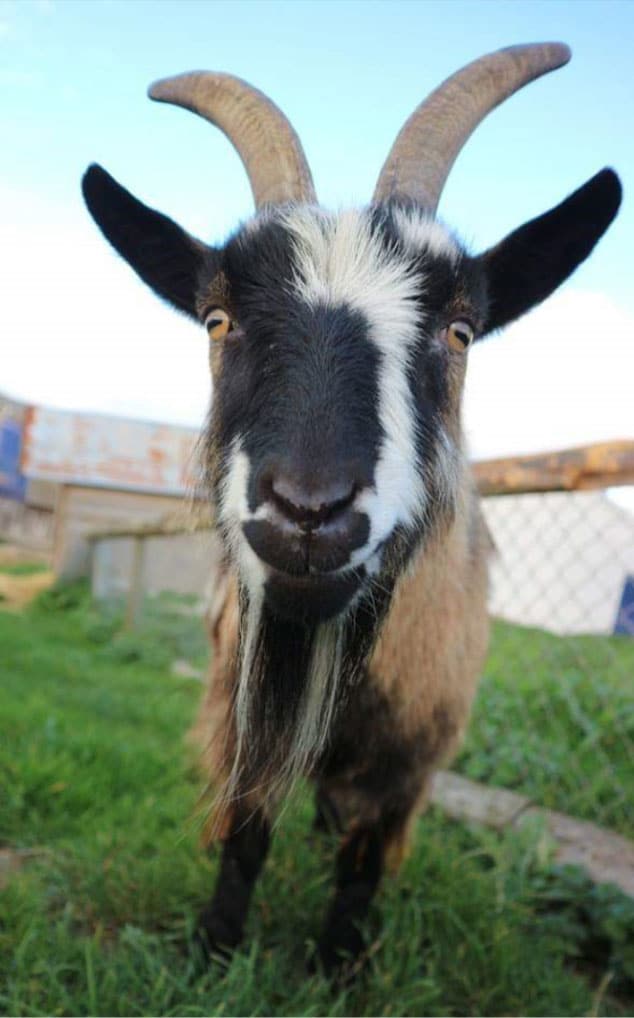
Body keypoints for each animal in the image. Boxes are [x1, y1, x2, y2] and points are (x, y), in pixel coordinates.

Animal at [81, 43, 622, 973]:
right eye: (216, 319)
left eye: (460, 331)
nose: (308, 509)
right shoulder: (242, 711)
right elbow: (246, 831)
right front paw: (218, 949)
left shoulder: (412, 759)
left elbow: (363, 862)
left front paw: (337, 966)